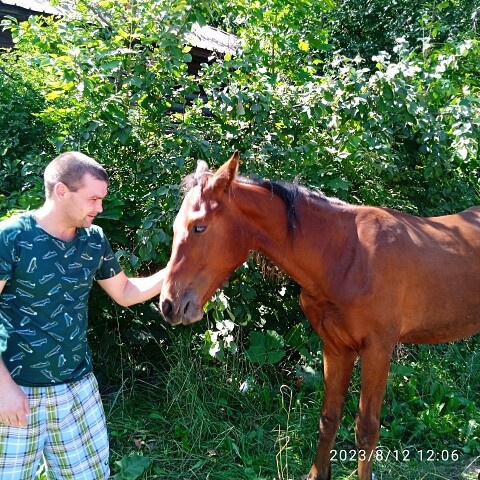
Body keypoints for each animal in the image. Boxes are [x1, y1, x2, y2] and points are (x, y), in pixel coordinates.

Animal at [160, 152, 480, 478]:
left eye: (199, 227)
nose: (170, 304)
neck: (346, 254)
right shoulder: (336, 348)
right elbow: (328, 418)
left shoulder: (378, 351)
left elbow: (366, 429)